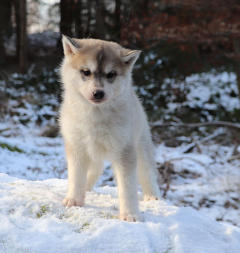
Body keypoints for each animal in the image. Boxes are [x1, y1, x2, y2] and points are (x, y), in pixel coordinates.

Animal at [59, 36, 160, 221]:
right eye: (86, 72)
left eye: (111, 74)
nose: (98, 93)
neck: (95, 115)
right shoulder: (77, 146)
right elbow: (76, 177)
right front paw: (74, 200)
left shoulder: (124, 150)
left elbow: (127, 188)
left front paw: (130, 215)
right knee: (95, 169)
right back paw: (86, 189)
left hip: (141, 147)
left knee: (147, 173)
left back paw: (153, 197)